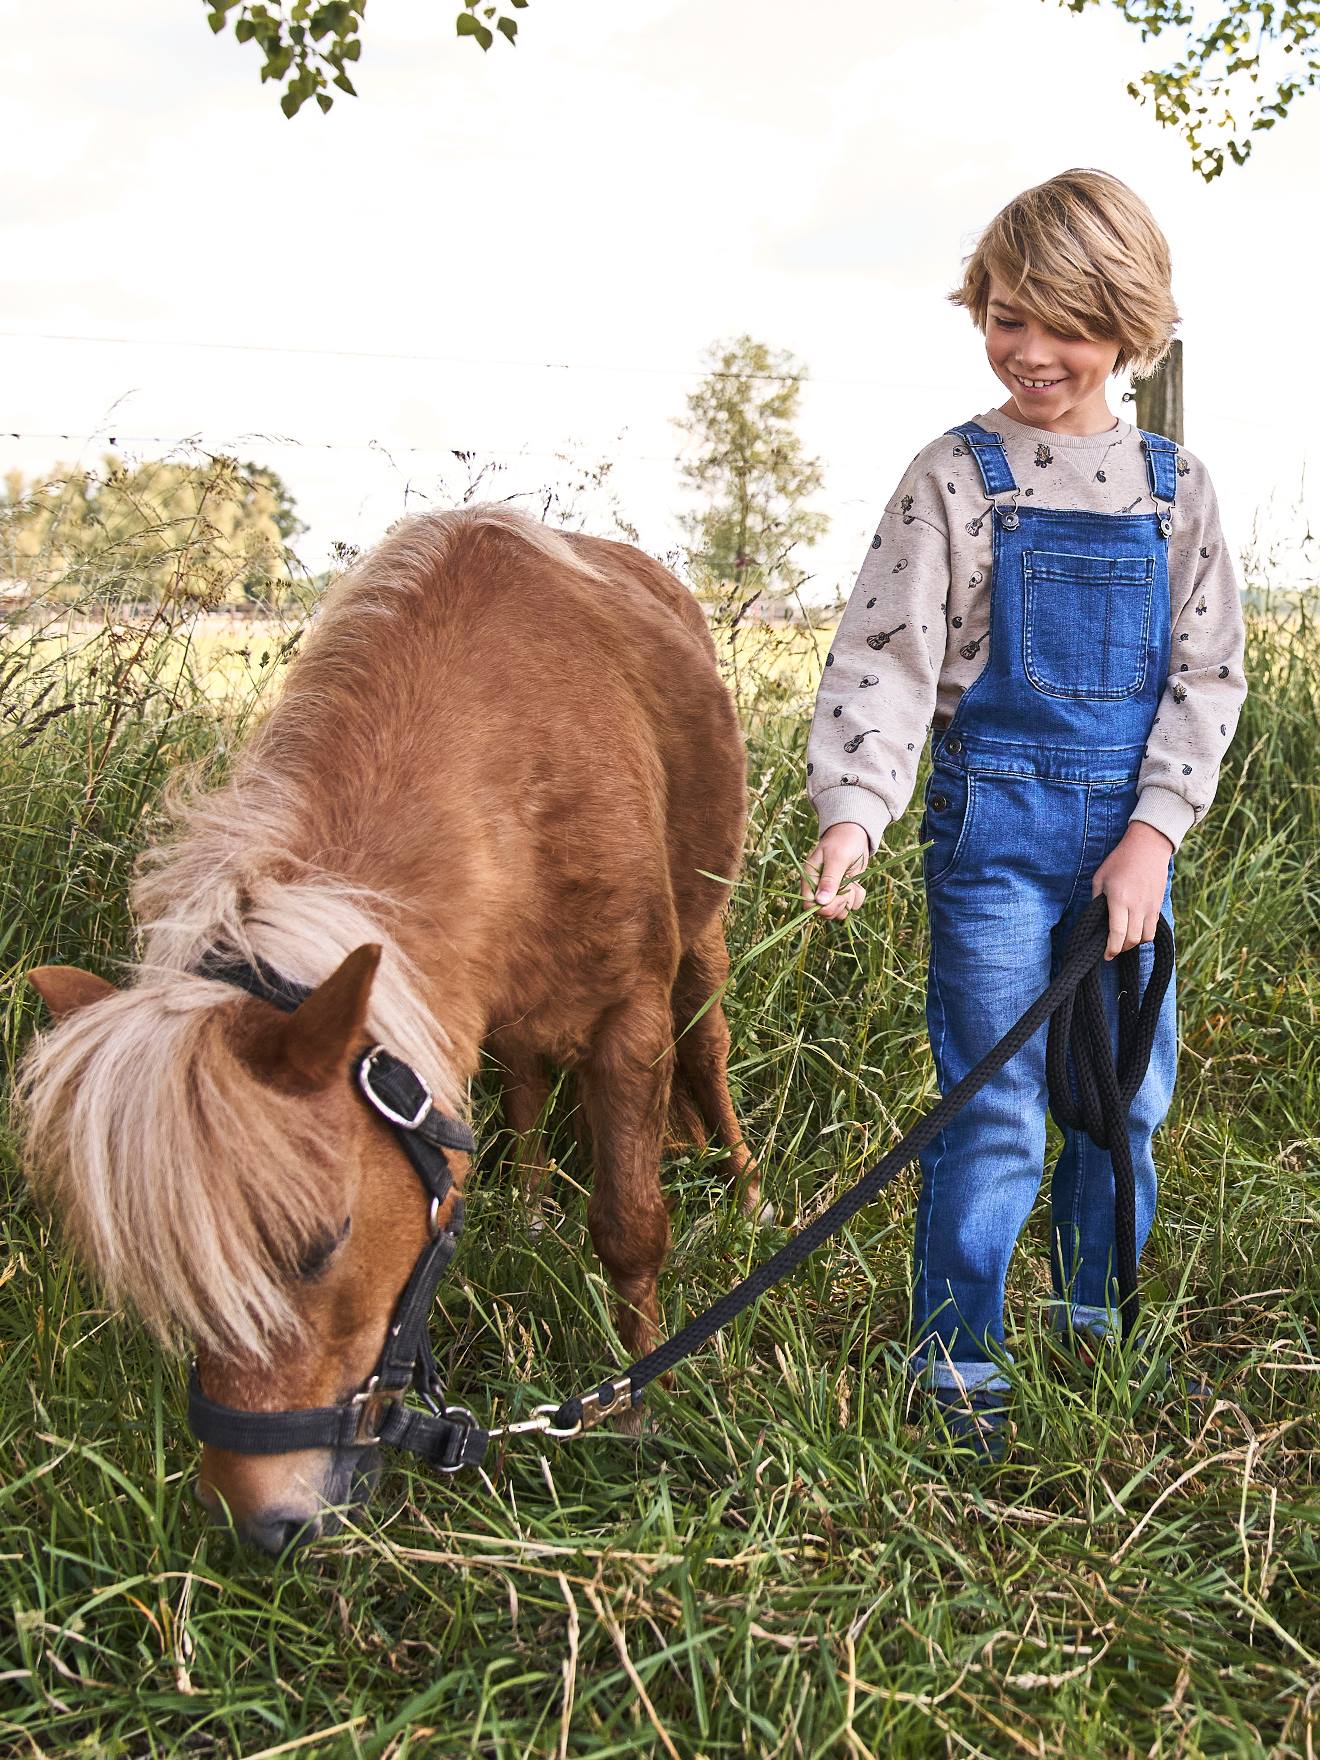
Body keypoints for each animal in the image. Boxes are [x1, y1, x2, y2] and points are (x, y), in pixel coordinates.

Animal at [20, 510, 760, 1555]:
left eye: (319, 1245)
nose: (259, 1523)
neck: (514, 756)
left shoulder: (632, 1016)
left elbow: (629, 1228)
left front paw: (635, 1410)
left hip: (702, 938)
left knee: (709, 1049)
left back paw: (746, 1188)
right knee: (525, 1080)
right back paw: (531, 1203)